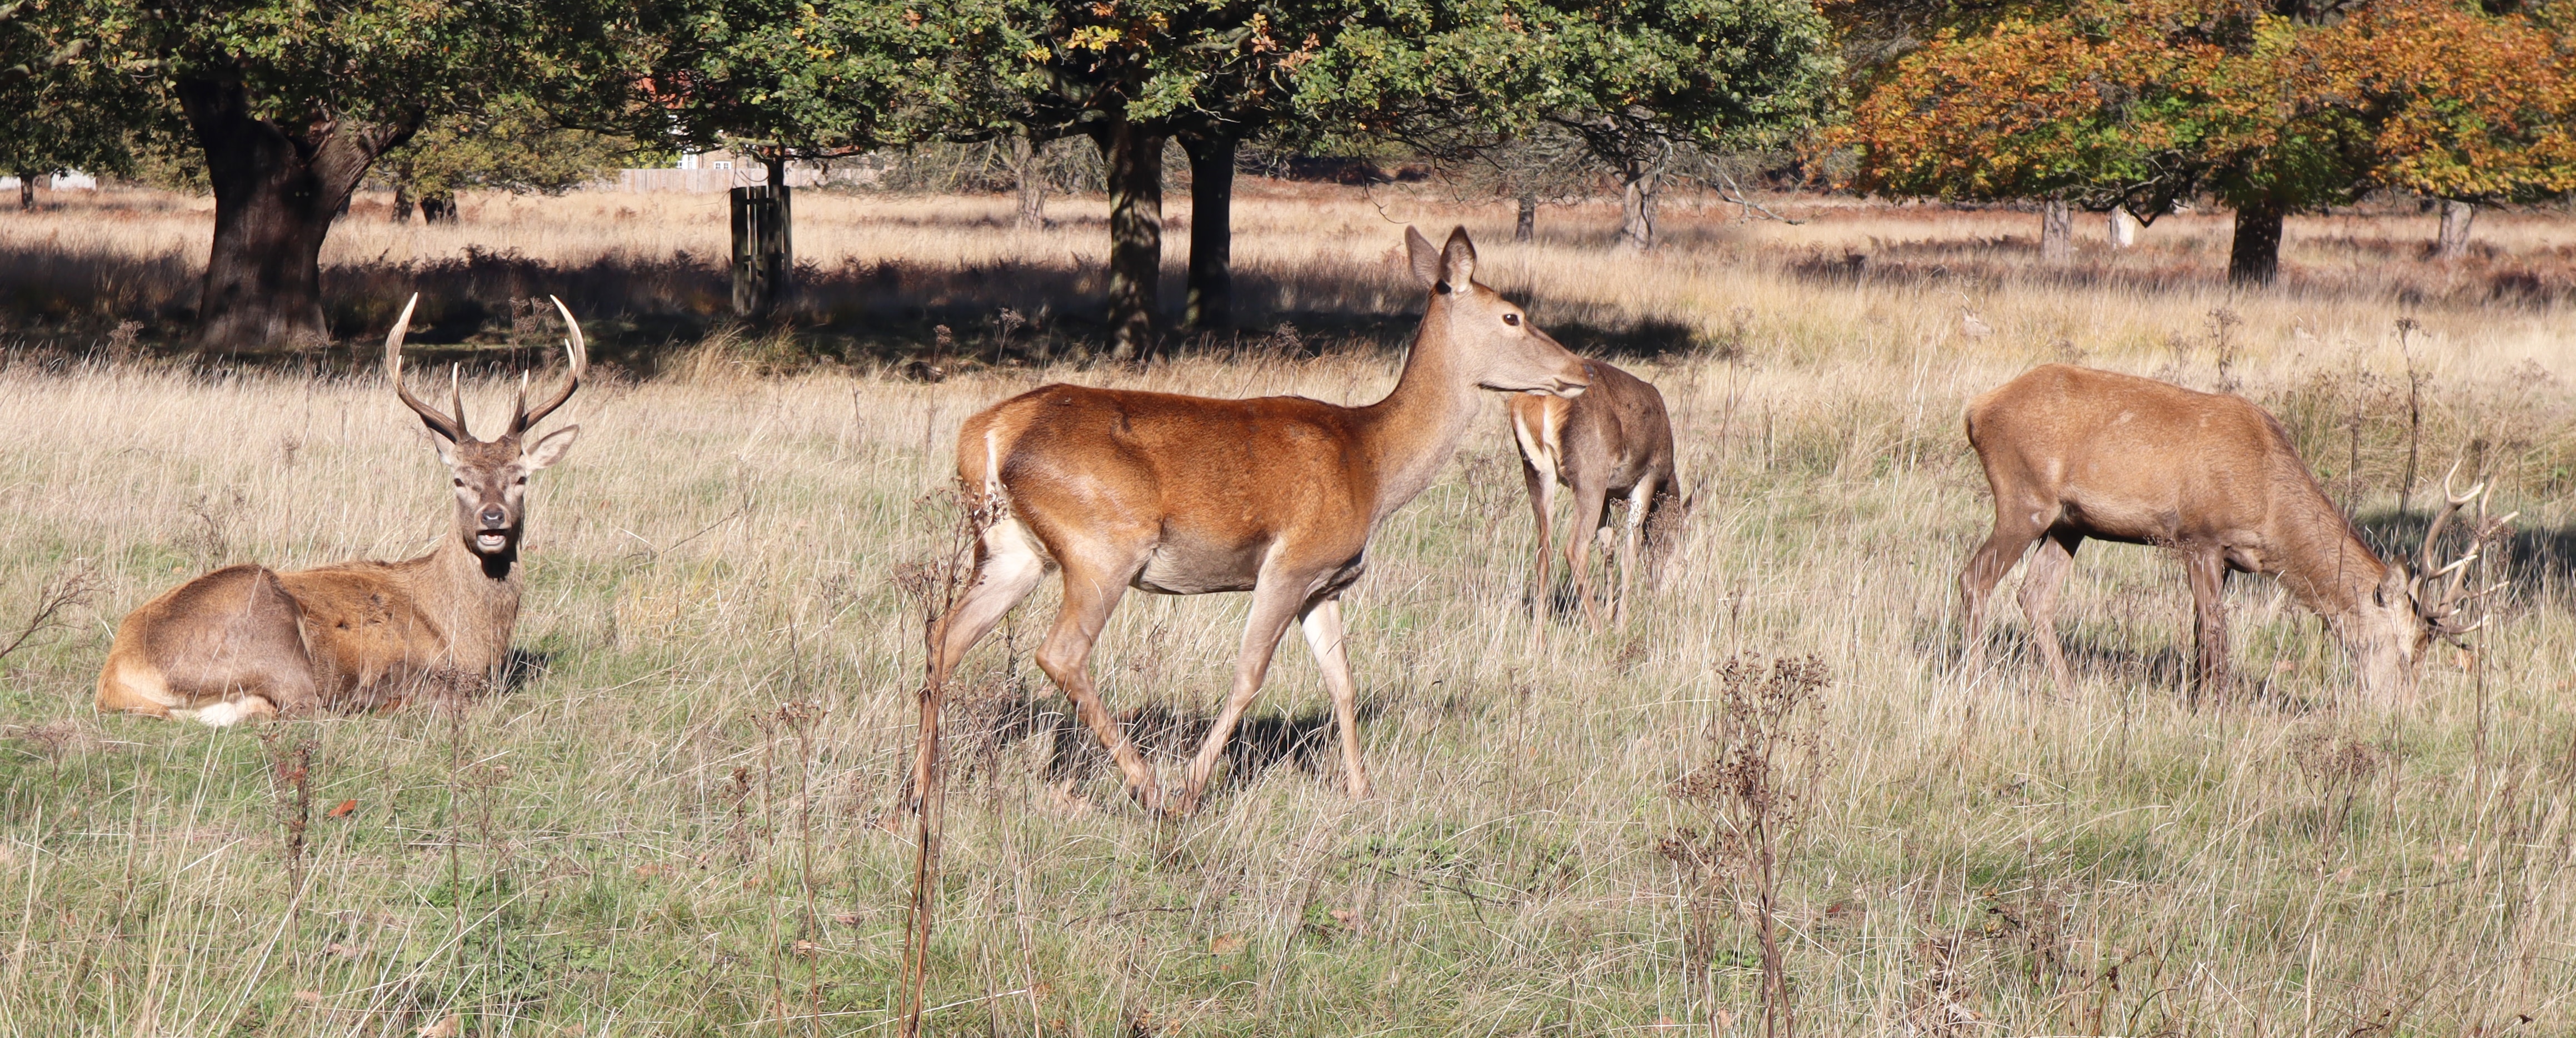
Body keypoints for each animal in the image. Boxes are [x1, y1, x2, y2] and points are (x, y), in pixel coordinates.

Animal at [98, 296, 587, 726]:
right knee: (307, 708)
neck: (470, 642)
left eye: (521, 478)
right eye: (459, 479)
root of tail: (116, 674)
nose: (492, 519)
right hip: (271, 633)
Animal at [906, 224, 1586, 819]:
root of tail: (987, 434)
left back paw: (915, 794)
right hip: (1103, 544)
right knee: (1060, 652)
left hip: (1009, 550)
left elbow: (1343, 681)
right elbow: (1249, 674)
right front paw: (1193, 787)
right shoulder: (1290, 564)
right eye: (1512, 315)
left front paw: (1361, 790)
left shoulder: (1326, 584)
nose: (1579, 371)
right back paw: (1150, 788)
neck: (1372, 464)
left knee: (944, 638)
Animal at [1504, 355, 1690, 641]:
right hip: (1590, 471)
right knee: (1575, 549)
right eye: (1679, 545)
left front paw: (1610, 612)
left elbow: (1608, 546)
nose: (1666, 591)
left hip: (1535, 471)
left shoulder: (1608, 496)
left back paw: (1538, 635)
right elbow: (1629, 549)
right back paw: (1598, 630)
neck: (1668, 479)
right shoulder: (1647, 476)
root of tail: (1539, 401)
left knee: (1543, 549)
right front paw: (1620, 622)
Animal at [1958, 366, 2504, 700]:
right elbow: (2217, 629)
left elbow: (2202, 629)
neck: (2268, 510)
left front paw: (2199, 697)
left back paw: (2068, 691)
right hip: (2024, 499)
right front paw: (2214, 708)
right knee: (1974, 578)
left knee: (2035, 595)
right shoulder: (2199, 536)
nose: (2397, 712)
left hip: (2069, 524)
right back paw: (1972, 679)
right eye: (2404, 651)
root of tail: (1976, 410)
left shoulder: (2229, 559)